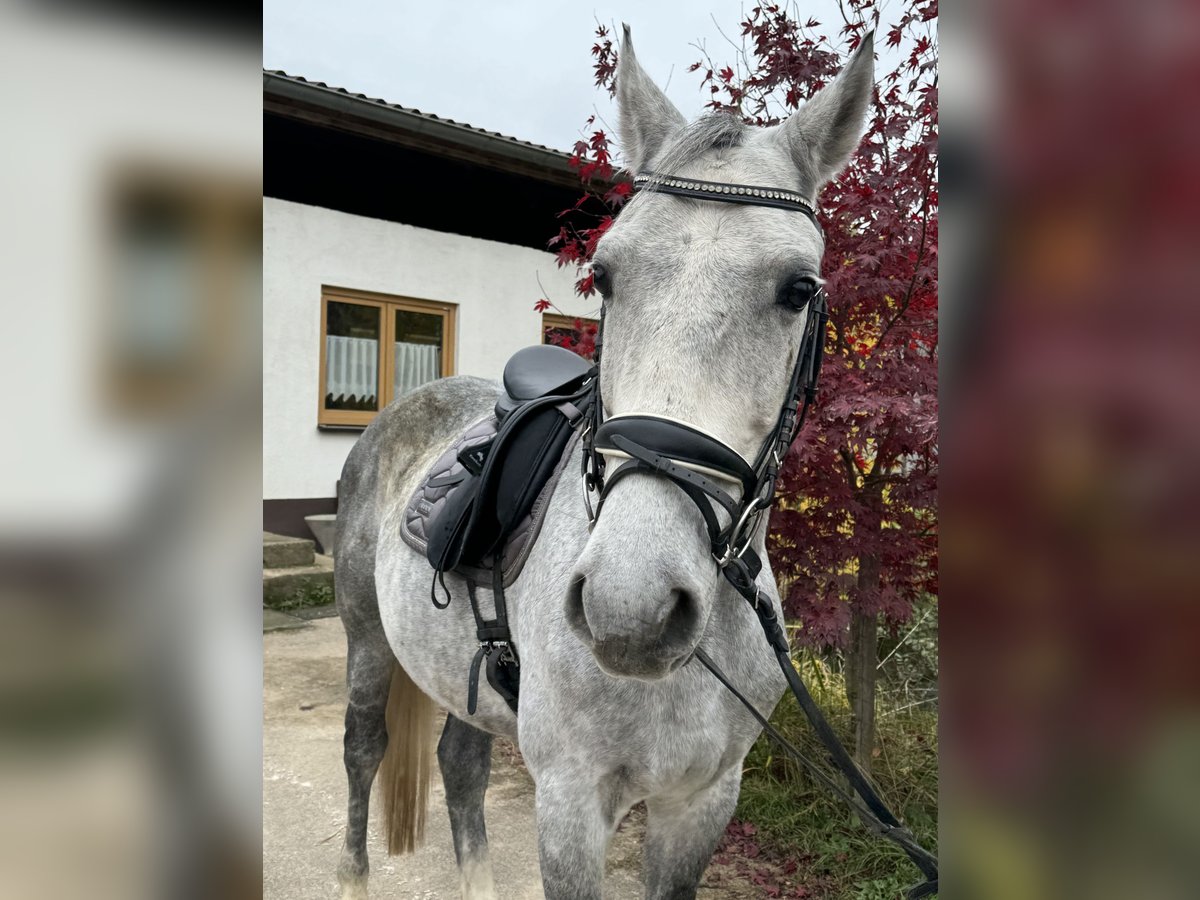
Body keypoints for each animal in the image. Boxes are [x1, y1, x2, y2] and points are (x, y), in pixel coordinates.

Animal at [333, 28, 878, 900]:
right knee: (363, 751)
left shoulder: (703, 800)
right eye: (605, 276)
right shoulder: (571, 804)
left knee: (460, 765)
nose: (633, 607)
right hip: (367, 642)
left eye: (799, 288)